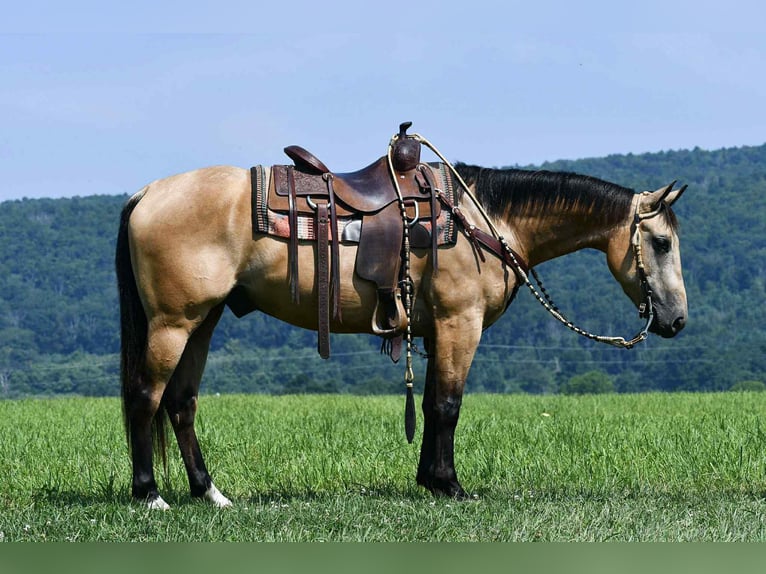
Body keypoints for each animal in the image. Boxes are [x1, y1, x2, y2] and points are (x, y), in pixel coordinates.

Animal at [115, 143, 688, 510]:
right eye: (661, 243)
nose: (677, 320)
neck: (484, 220)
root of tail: (147, 192)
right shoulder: (461, 324)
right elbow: (448, 405)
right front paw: (451, 486)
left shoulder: (437, 331)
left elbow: (433, 403)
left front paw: (430, 480)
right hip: (173, 323)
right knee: (146, 396)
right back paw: (150, 495)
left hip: (203, 320)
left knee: (181, 403)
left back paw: (210, 493)